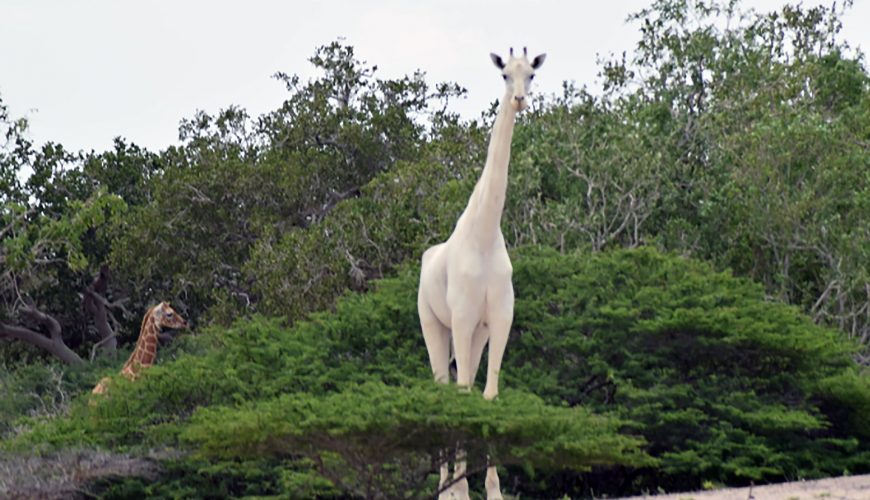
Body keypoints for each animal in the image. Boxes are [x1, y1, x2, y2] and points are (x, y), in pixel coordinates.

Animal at [418, 47, 545, 500]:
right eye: (505, 75)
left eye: (532, 75)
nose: (519, 100)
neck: (485, 233)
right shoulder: (460, 317)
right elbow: (460, 393)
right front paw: (459, 488)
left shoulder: (499, 318)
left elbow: (487, 394)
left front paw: (492, 489)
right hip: (434, 323)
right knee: (442, 385)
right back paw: (446, 485)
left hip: (476, 333)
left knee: (466, 382)